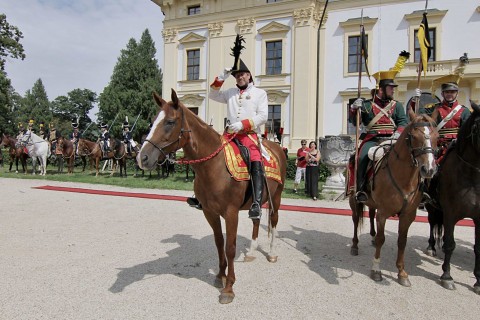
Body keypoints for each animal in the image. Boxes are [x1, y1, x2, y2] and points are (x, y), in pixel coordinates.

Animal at [137, 89, 286, 302]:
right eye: (152, 121)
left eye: (170, 122)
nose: (142, 158)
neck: (213, 166)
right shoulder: (210, 212)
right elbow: (219, 243)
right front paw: (220, 275)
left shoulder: (231, 213)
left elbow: (230, 247)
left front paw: (229, 287)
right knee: (256, 221)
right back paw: (251, 251)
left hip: (277, 197)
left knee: (273, 221)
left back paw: (272, 253)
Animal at [348, 114, 438, 288]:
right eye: (413, 137)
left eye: (436, 137)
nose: (429, 169)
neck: (404, 178)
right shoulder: (383, 213)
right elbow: (382, 239)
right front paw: (376, 270)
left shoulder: (408, 215)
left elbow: (402, 241)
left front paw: (402, 273)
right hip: (353, 199)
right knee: (355, 220)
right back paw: (355, 245)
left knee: (371, 214)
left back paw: (371, 237)